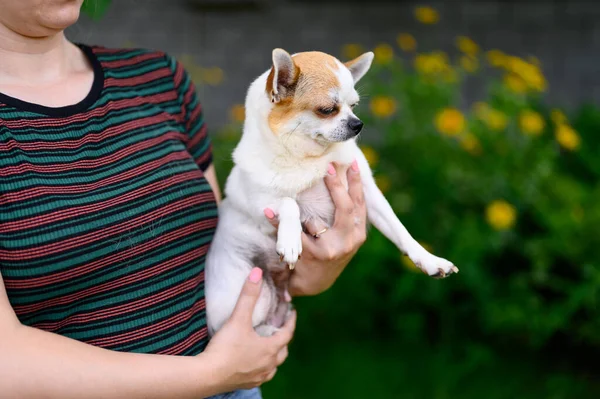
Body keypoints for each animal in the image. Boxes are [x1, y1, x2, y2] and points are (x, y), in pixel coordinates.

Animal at [204, 49, 458, 338]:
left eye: (354, 106)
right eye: (327, 110)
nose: (358, 124)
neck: (310, 158)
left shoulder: (369, 193)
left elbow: (399, 229)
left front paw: (429, 260)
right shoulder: (261, 205)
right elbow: (290, 202)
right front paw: (290, 241)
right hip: (253, 296)